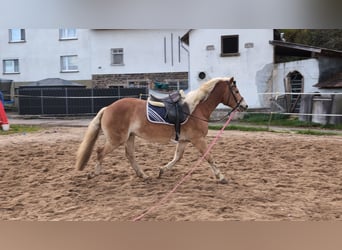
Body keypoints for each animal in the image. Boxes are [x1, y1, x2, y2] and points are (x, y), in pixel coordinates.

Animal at [75, 77, 246, 185]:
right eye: (236, 91)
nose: (244, 105)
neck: (195, 109)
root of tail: (108, 108)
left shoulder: (184, 140)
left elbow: (177, 158)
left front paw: (162, 171)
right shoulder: (198, 140)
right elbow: (209, 157)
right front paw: (221, 177)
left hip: (130, 137)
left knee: (130, 156)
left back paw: (143, 175)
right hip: (117, 139)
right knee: (100, 152)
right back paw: (94, 174)